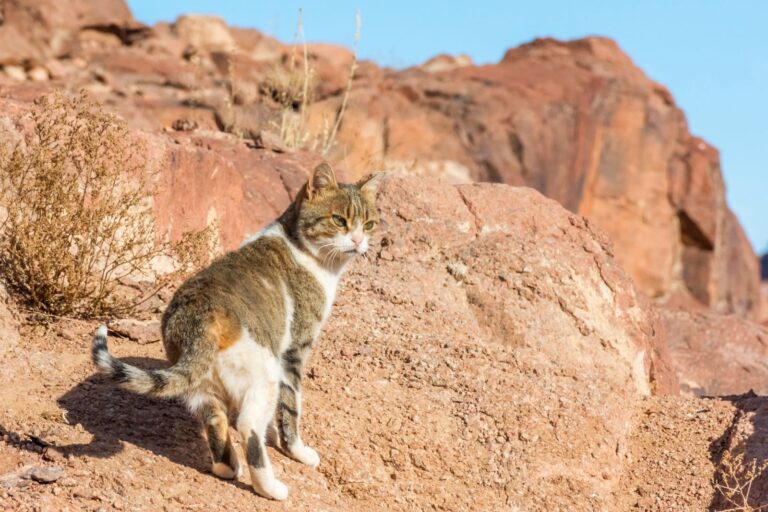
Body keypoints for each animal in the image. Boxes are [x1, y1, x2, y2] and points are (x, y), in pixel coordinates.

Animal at [91, 163, 384, 500]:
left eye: (369, 224)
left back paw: (227, 468)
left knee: (214, 418)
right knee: (247, 426)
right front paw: (297, 450)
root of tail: (200, 315)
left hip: (200, 384)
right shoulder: (294, 350)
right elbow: (291, 408)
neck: (302, 248)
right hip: (265, 371)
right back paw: (270, 488)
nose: (359, 242)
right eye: (339, 220)